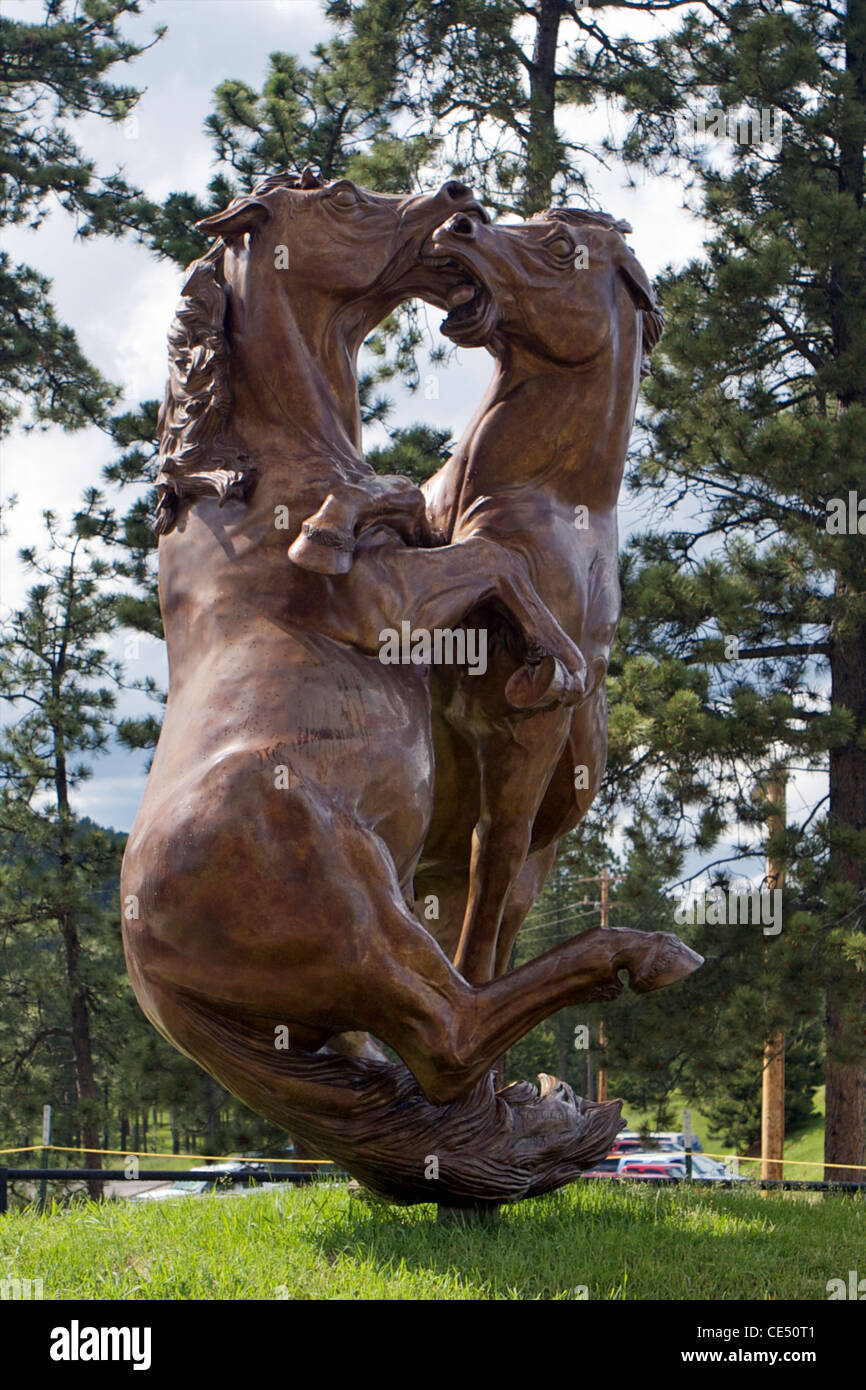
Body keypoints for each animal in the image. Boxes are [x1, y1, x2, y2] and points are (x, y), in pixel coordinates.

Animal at [122, 173, 700, 1206]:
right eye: (345, 198)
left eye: (558, 247)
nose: (458, 203)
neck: (251, 484)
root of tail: (155, 978)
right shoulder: (389, 605)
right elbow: (489, 560)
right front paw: (550, 657)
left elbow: (448, 535)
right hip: (362, 919)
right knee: (451, 1035)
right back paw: (640, 963)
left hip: (361, 956)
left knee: (437, 1035)